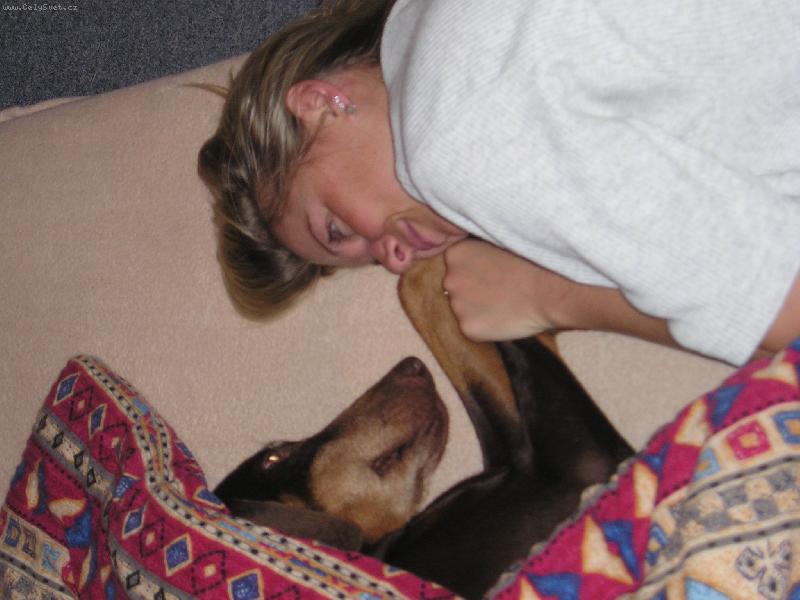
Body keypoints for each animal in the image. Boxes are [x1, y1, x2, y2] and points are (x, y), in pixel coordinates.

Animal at [214, 256, 633, 599]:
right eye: (273, 458)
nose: (412, 367)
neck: (388, 549)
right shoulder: (581, 455)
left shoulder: (520, 457)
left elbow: (418, 290)